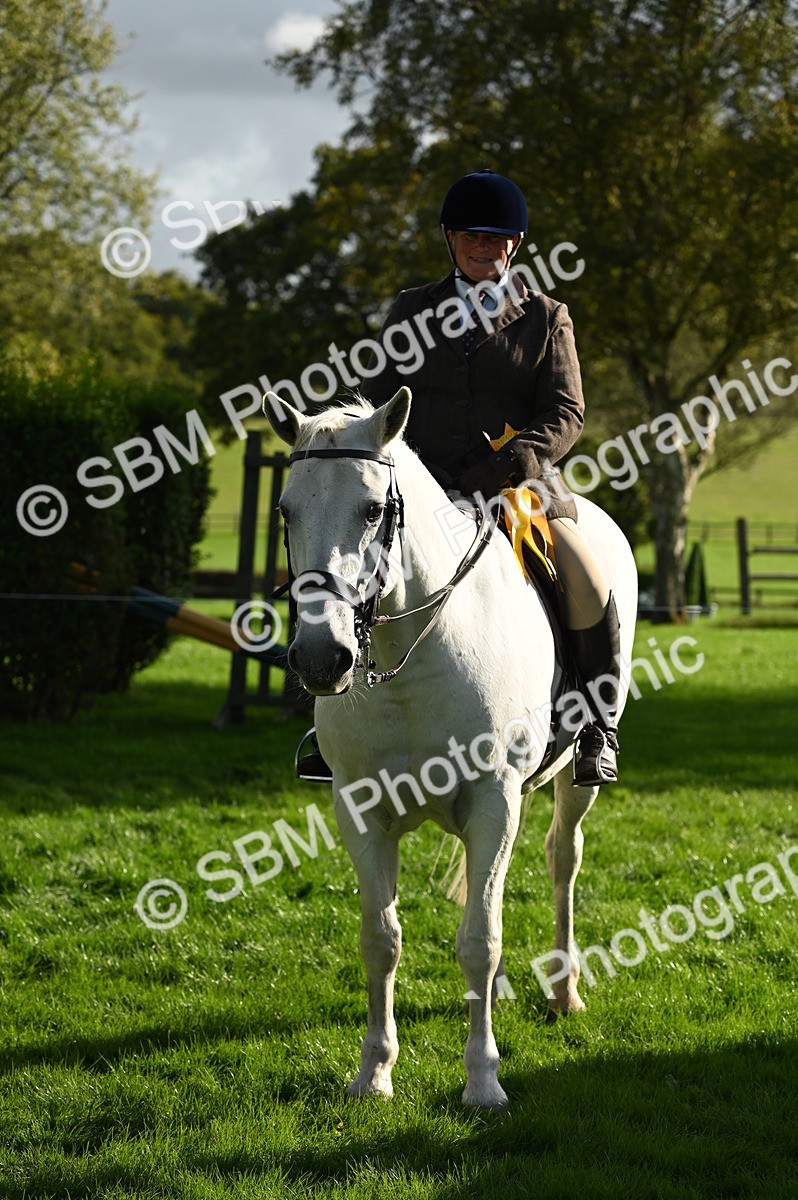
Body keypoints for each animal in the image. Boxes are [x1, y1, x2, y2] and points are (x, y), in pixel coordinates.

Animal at [264, 385, 638, 1110]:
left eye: (373, 509)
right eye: (286, 511)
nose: (322, 659)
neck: (411, 660)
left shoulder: (494, 803)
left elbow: (480, 941)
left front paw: (483, 1080)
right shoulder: (362, 812)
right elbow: (381, 940)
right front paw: (373, 1073)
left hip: (571, 781)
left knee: (562, 861)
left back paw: (564, 991)